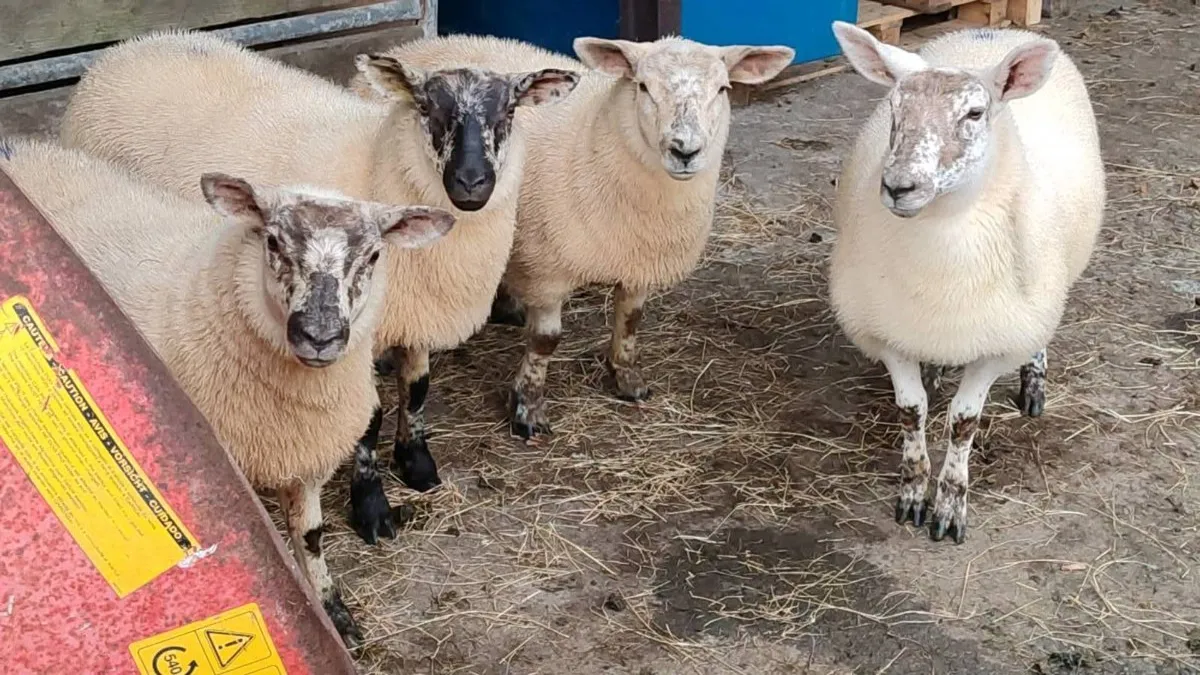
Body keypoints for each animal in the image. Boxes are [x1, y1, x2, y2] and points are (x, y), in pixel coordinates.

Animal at [0, 137, 456, 645]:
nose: (319, 336)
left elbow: (311, 537)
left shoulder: (306, 457)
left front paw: (334, 615)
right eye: (273, 241)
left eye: (374, 256)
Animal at [57, 30, 580, 545]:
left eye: (508, 112)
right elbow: (370, 421)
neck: (377, 162)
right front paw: (372, 509)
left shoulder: (413, 312)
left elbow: (416, 390)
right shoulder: (358, 335)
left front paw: (417, 465)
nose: (472, 182)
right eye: (427, 108)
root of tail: (135, 44)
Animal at [352, 34, 795, 438]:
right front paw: (528, 409)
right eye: (643, 86)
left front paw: (627, 379)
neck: (595, 139)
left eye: (722, 89)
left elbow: (630, 321)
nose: (685, 151)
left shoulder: (640, 263)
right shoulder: (548, 270)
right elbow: (546, 341)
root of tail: (412, 44)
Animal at [827, 23, 1105, 544]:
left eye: (975, 113)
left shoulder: (995, 342)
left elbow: (963, 423)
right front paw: (913, 493)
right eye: (895, 109)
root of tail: (996, 31)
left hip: (1042, 296)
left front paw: (950, 505)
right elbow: (911, 411)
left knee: (1038, 336)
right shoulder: (889, 331)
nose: (899, 187)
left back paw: (1033, 383)